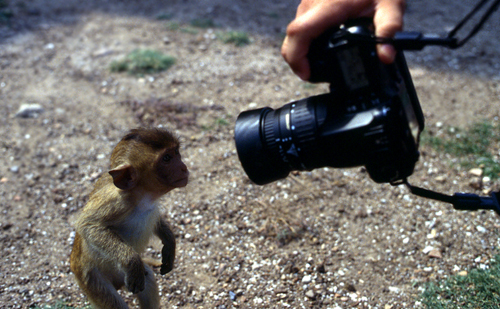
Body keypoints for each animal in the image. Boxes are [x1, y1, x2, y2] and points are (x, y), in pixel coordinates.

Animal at [69, 126, 188, 306]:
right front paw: (131, 261)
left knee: (148, 279)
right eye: (167, 158)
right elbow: (88, 225)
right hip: (91, 280)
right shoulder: (116, 201)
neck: (142, 196)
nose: (184, 167)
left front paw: (170, 243)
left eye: (176, 152)